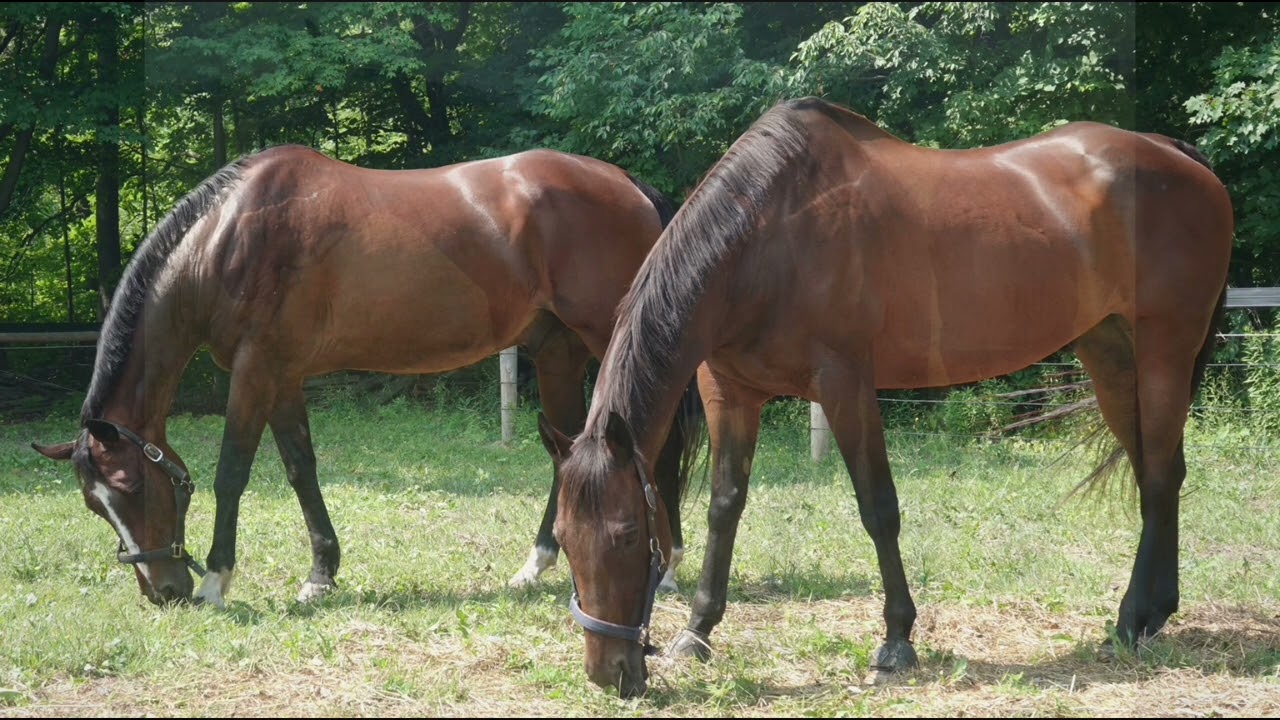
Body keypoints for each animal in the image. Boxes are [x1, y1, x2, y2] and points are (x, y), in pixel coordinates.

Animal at [31, 145, 704, 608]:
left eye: (132, 488)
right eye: (95, 506)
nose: (163, 591)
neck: (228, 238)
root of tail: (629, 184)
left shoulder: (255, 369)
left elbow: (233, 472)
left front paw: (217, 581)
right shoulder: (283, 375)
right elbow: (300, 468)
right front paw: (320, 575)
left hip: (609, 337)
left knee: (657, 445)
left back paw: (666, 566)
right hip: (557, 351)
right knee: (568, 449)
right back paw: (536, 566)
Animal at [539, 96, 1233, 696]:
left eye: (629, 534)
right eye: (565, 540)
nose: (609, 672)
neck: (767, 237)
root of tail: (1174, 152)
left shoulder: (845, 384)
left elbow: (878, 507)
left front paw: (898, 639)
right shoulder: (730, 394)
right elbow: (724, 507)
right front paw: (698, 630)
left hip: (1164, 351)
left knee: (1161, 476)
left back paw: (1135, 617)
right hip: (1110, 355)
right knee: (1155, 473)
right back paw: (1150, 612)